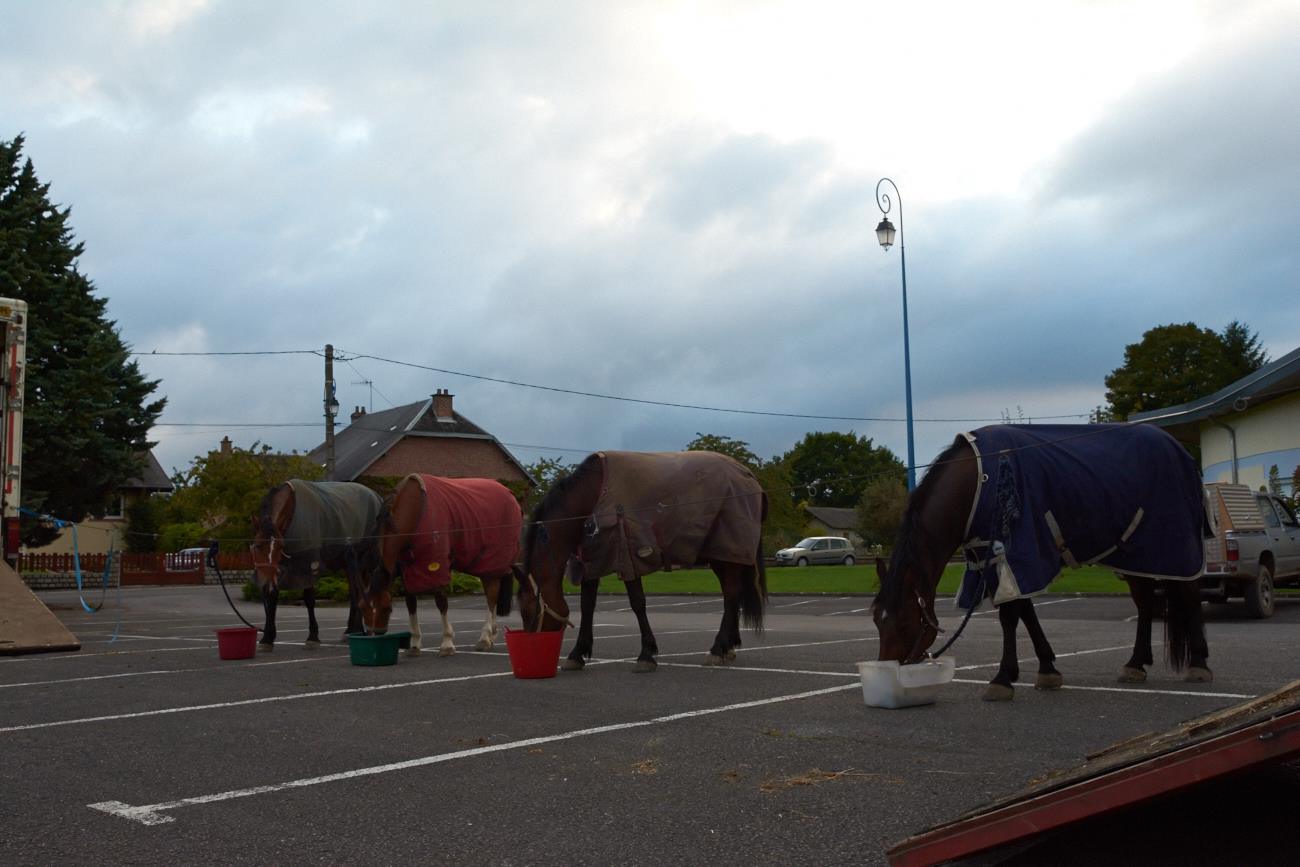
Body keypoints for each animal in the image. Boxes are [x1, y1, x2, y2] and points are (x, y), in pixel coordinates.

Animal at [250, 479, 382, 652]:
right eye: (258, 545)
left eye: (279, 547)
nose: (264, 580)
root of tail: (376, 497)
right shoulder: (279, 567)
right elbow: (272, 598)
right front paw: (267, 638)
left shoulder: (308, 564)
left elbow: (309, 599)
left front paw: (312, 637)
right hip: (349, 563)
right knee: (355, 593)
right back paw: (350, 631)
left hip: (361, 561)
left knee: (359, 592)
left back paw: (357, 630)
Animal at [359, 473, 520, 656]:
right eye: (361, 608)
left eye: (387, 608)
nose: (374, 637)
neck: (415, 510)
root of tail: (509, 493)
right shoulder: (409, 569)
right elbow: (410, 602)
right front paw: (414, 644)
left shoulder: (437, 564)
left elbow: (441, 601)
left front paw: (447, 643)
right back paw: (491, 635)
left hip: (491, 559)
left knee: (491, 597)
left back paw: (485, 638)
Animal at [518, 450, 768, 672]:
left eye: (527, 610)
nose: (532, 644)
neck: (593, 495)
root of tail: (750, 477)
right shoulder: (592, 561)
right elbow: (587, 605)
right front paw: (577, 654)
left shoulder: (628, 555)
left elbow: (637, 603)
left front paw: (646, 654)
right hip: (721, 556)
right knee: (731, 595)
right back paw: (727, 647)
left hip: (730, 553)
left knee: (731, 596)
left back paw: (717, 649)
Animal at [872, 423, 1211, 701]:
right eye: (877, 619)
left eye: (905, 623)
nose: (886, 670)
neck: (978, 481)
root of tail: (1178, 448)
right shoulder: (992, 558)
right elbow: (1024, 611)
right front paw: (1046, 669)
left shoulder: (1017, 550)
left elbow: (1010, 615)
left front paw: (1002, 679)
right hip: (1135, 553)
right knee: (1144, 602)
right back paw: (1136, 664)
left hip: (1173, 546)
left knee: (1190, 594)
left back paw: (1198, 663)